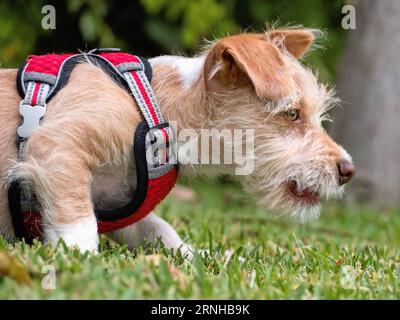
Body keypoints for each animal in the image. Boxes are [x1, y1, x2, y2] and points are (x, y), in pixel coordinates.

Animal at [0, 28, 354, 256]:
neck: (159, 108)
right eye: (292, 114)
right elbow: (80, 223)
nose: (348, 171)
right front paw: (78, 262)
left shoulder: (115, 204)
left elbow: (159, 230)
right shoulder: (56, 146)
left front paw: (203, 258)